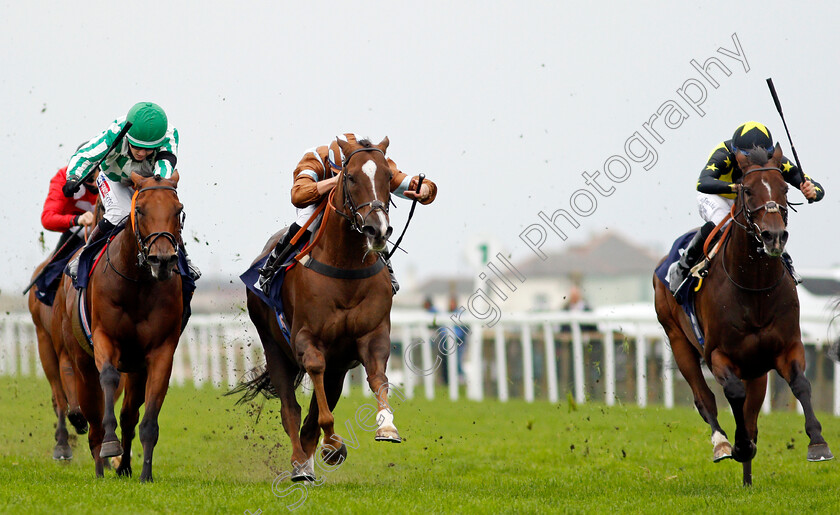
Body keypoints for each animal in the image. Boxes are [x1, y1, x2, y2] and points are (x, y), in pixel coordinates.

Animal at [60, 171, 185, 482]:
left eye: (178, 210)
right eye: (139, 210)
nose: (162, 260)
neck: (137, 283)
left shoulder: (160, 352)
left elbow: (147, 418)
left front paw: (145, 475)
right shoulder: (105, 339)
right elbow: (108, 378)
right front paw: (109, 445)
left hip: (136, 368)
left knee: (129, 416)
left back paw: (125, 467)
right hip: (81, 361)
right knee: (92, 417)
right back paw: (99, 468)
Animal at [241, 136, 402, 480]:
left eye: (388, 177)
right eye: (350, 177)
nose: (377, 230)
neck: (345, 268)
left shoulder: (371, 336)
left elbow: (378, 377)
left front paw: (387, 427)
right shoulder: (306, 338)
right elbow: (315, 379)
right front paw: (332, 443)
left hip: (339, 367)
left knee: (314, 409)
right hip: (274, 347)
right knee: (291, 408)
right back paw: (299, 465)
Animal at [656, 145, 832, 488]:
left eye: (785, 188)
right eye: (748, 190)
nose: (774, 236)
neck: (754, 287)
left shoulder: (786, 347)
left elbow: (801, 385)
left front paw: (818, 443)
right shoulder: (718, 354)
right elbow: (732, 394)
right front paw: (738, 445)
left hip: (757, 369)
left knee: (751, 413)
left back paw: (748, 475)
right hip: (678, 339)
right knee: (704, 398)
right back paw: (723, 443)